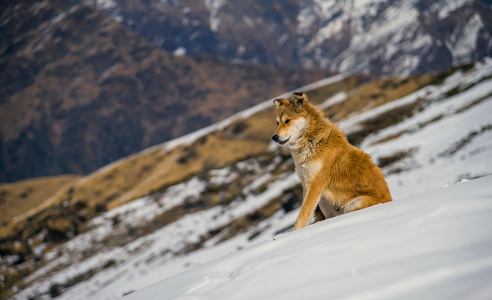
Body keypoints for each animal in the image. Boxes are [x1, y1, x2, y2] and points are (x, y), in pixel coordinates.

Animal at [272, 92, 392, 231]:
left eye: (287, 121)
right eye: (277, 123)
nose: (274, 137)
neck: (312, 142)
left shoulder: (315, 185)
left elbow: (302, 217)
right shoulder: (306, 185)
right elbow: (305, 216)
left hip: (354, 203)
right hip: (325, 201)